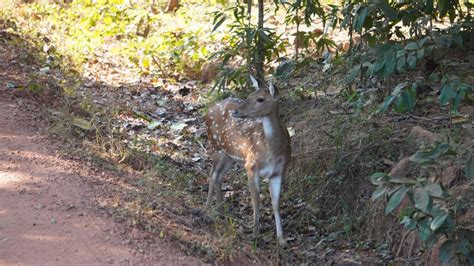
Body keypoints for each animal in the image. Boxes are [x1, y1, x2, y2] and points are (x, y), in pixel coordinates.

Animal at [203, 76, 288, 246]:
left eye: (260, 99)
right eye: (249, 95)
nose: (236, 111)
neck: (274, 151)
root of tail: (209, 108)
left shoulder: (278, 172)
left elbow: (276, 204)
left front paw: (281, 240)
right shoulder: (251, 166)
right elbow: (256, 201)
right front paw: (255, 236)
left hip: (230, 155)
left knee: (219, 176)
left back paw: (221, 212)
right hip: (216, 147)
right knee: (212, 174)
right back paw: (207, 209)